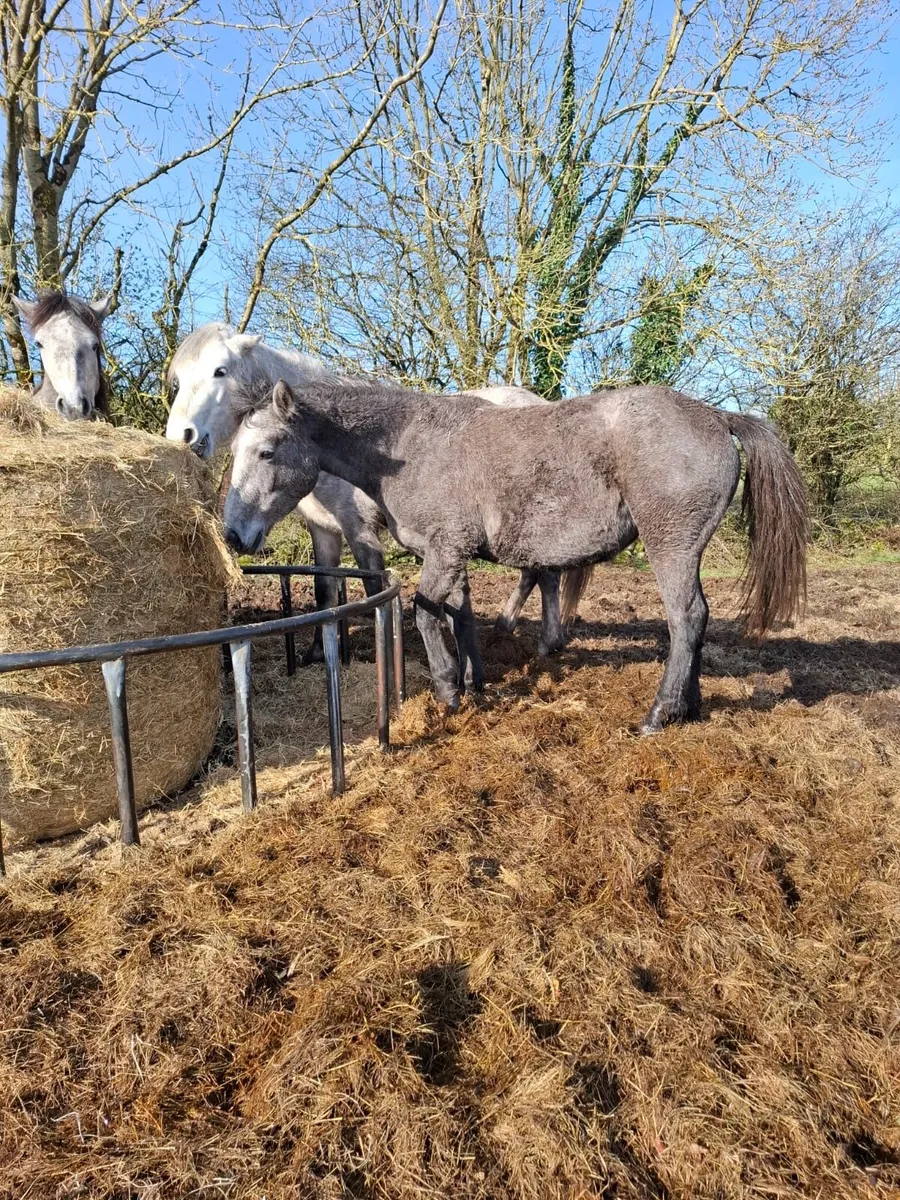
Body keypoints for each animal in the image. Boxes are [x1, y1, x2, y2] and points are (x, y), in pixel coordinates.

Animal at [164, 323, 587, 664]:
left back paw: (544, 642)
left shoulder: (361, 530)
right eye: (179, 380)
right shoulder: (324, 530)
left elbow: (374, 591)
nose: (181, 435)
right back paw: (507, 626)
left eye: (220, 370)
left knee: (546, 576)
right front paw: (317, 652)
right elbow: (324, 592)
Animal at [223, 378, 809, 732]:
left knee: (684, 619)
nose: (232, 535)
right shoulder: (453, 558)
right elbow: (457, 617)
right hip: (687, 550)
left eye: (267, 451)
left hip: (670, 546)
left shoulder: (442, 552)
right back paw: (689, 706)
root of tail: (716, 416)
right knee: (699, 618)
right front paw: (473, 682)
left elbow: (423, 613)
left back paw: (658, 714)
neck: (411, 446)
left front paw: (447, 690)